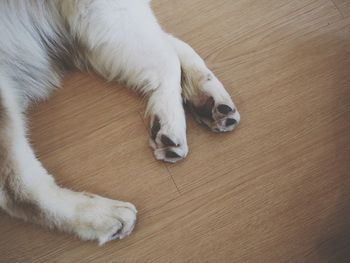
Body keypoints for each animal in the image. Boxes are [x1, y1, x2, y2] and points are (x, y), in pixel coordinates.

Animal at [0, 1, 241, 246]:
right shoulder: (100, 9)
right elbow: (168, 58)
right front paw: (169, 118)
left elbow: (170, 42)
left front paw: (207, 93)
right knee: (17, 191)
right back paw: (101, 215)